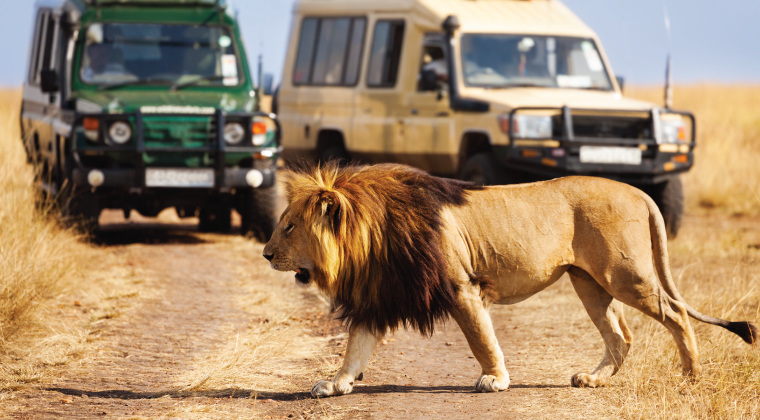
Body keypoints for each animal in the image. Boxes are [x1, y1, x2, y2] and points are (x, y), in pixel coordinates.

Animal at [260, 163, 756, 398]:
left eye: (289, 227)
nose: (266, 254)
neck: (370, 239)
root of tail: (638, 191)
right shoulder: (378, 297)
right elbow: (354, 348)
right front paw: (335, 384)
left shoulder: (462, 287)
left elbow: (482, 339)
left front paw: (495, 380)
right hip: (589, 282)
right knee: (621, 335)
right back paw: (593, 380)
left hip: (624, 274)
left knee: (675, 314)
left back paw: (691, 376)